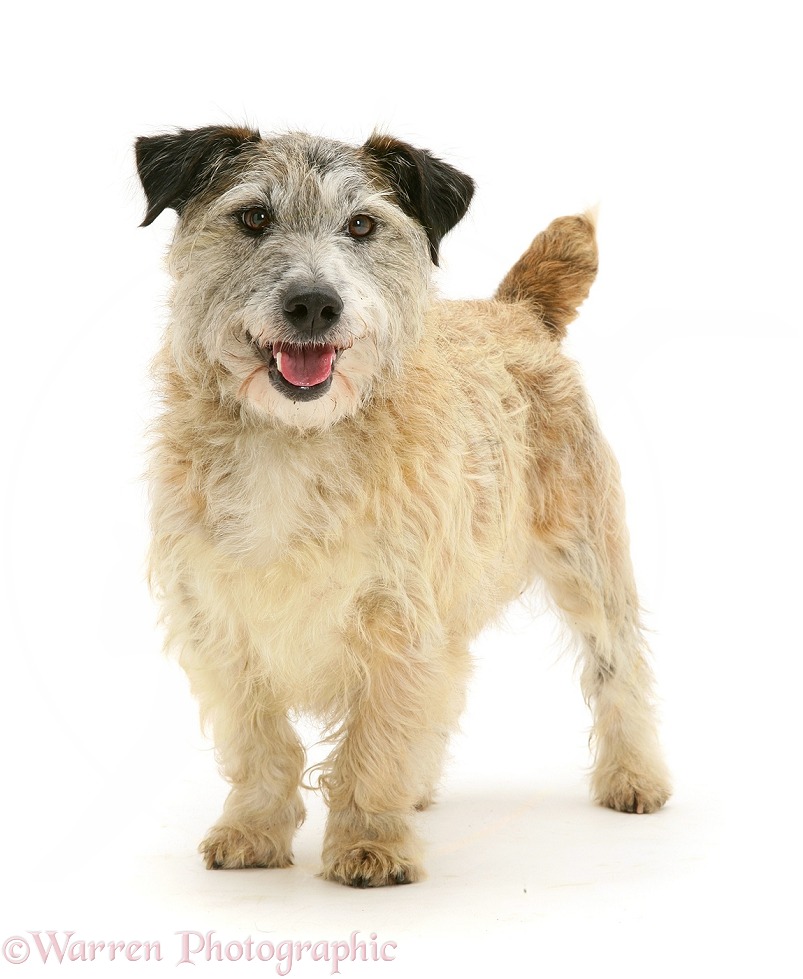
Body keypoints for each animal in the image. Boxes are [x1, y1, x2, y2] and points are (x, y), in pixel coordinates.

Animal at [137, 122, 672, 888]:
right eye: (254, 218)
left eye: (361, 225)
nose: (314, 303)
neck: (293, 440)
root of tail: (515, 310)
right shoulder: (219, 624)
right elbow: (261, 741)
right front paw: (253, 829)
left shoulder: (398, 622)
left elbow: (379, 736)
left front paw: (369, 842)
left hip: (588, 565)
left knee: (617, 669)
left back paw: (634, 777)